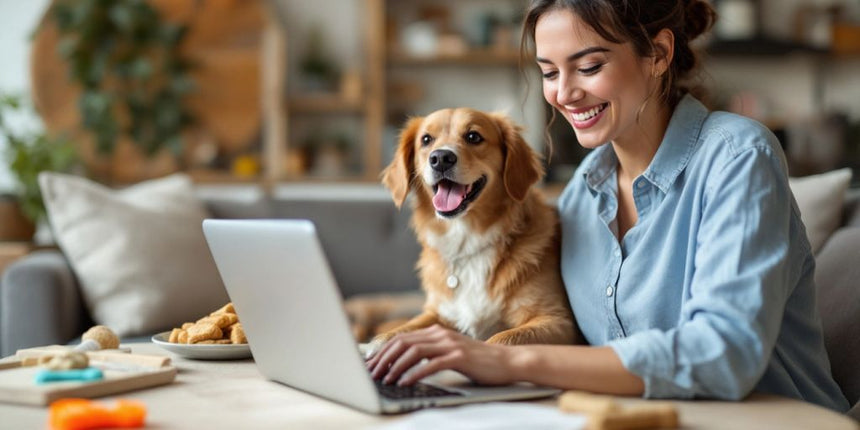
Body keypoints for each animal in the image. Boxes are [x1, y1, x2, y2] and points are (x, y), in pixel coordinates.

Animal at [366, 108, 580, 356]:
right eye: (426, 140)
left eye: (473, 137)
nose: (440, 158)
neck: (468, 240)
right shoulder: (439, 314)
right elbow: (405, 328)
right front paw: (375, 345)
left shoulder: (558, 321)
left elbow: (501, 339)